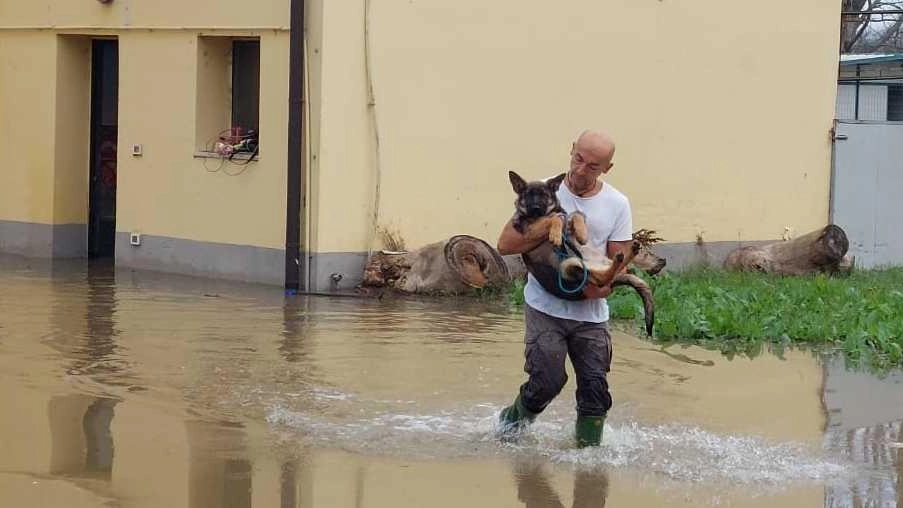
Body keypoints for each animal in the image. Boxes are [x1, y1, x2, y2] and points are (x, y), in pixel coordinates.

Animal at [512, 171, 652, 338]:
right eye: (528, 196)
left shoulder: (566, 215)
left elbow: (575, 215)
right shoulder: (530, 229)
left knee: (613, 271)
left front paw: (581, 233)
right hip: (570, 266)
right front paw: (555, 233)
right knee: (602, 279)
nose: (535, 208)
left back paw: (629, 252)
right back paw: (620, 259)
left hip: (592, 258)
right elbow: (553, 219)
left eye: (544, 195)